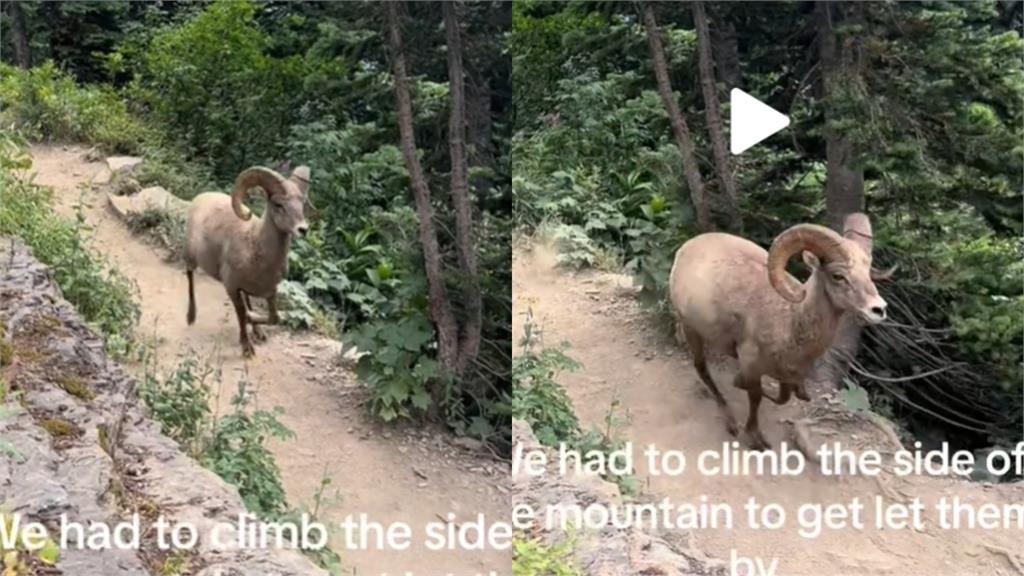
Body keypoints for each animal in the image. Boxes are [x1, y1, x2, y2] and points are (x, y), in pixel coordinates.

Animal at [185, 163, 309, 356]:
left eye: (302, 203)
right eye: (278, 204)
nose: (303, 229)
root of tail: (199, 198)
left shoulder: (270, 291)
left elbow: (274, 318)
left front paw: (254, 322)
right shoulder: (231, 287)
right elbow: (242, 314)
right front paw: (247, 348)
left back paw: (258, 331)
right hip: (191, 258)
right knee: (189, 275)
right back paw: (191, 317)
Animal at [667, 213, 892, 446]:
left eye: (868, 273)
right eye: (838, 276)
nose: (879, 309)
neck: (790, 322)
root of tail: (685, 249)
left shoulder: (787, 376)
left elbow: (782, 398)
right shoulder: (752, 367)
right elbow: (755, 396)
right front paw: (755, 438)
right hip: (691, 331)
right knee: (702, 369)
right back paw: (730, 421)